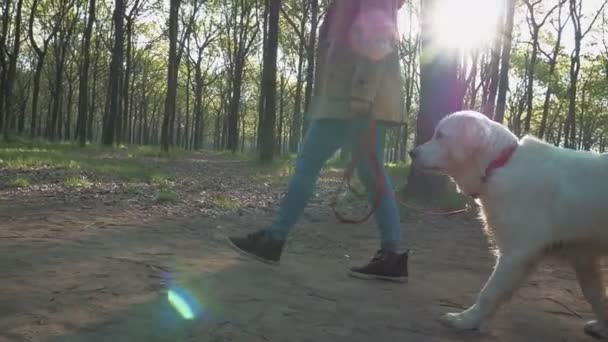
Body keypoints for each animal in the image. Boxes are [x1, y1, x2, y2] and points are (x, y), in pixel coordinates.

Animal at [410, 110, 608, 340]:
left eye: (440, 135)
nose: (411, 152)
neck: (500, 165)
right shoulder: (583, 256)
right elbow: (595, 295)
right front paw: (604, 325)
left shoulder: (516, 253)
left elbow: (489, 292)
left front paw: (466, 320)